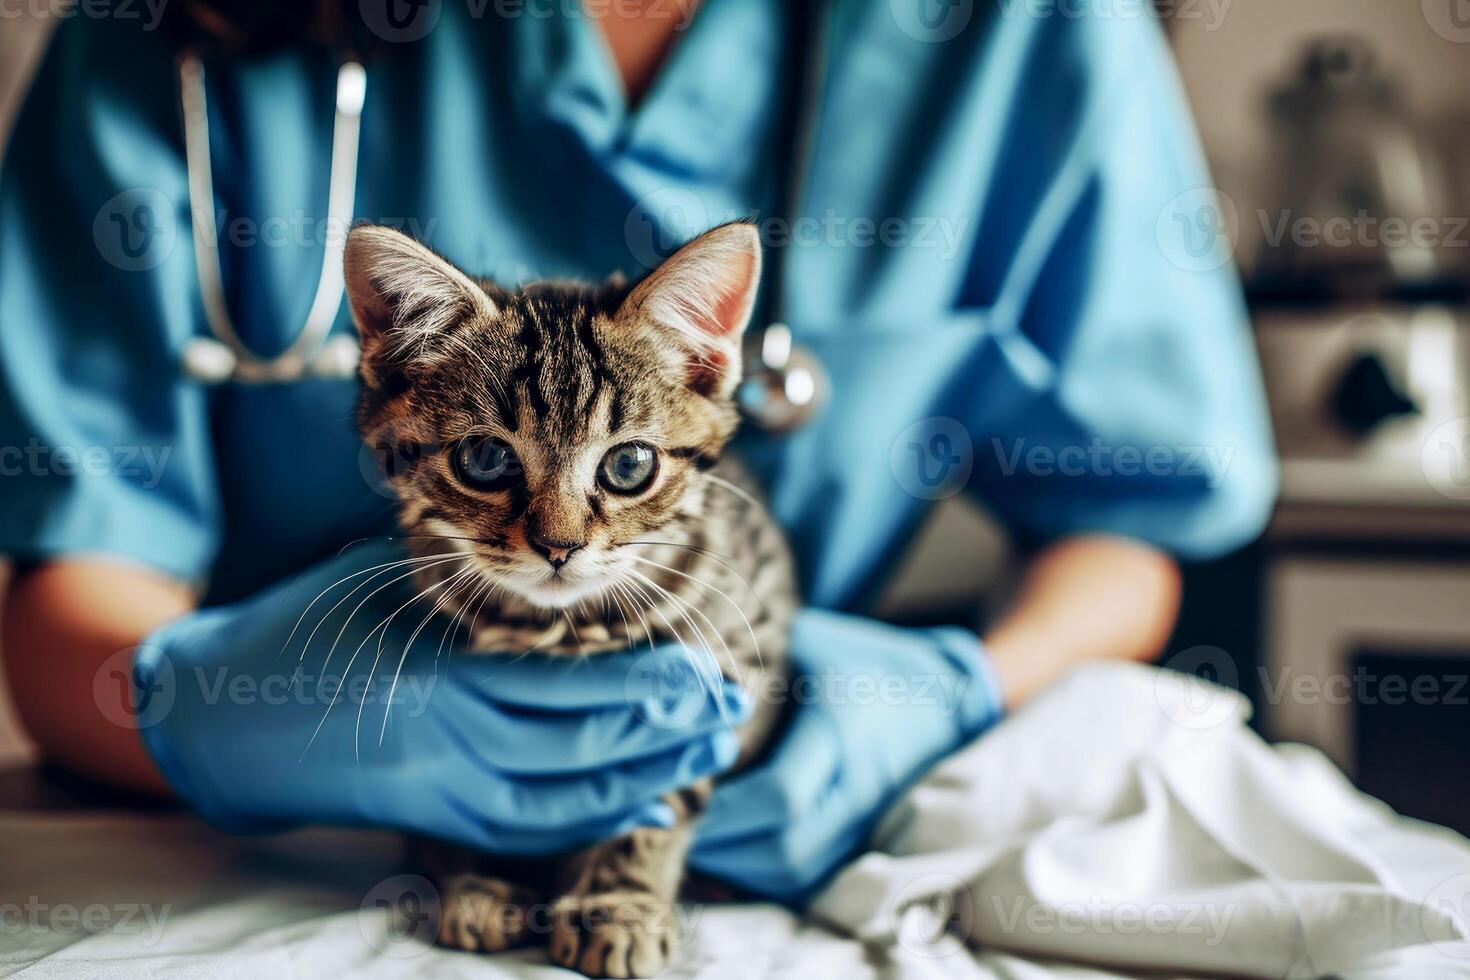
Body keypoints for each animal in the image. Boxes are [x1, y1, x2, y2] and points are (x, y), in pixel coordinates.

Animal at [339, 221, 799, 980]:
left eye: (630, 465)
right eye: (485, 461)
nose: (558, 547)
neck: (557, 630)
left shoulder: (721, 668)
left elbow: (657, 800)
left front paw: (618, 905)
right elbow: (467, 785)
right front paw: (479, 877)